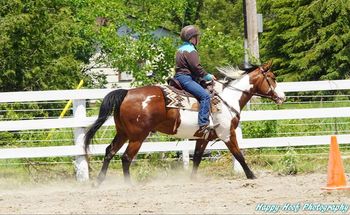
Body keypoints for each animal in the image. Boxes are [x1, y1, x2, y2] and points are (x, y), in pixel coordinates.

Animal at [84, 60, 284, 185]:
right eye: (273, 78)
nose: (282, 97)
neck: (228, 99)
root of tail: (126, 92)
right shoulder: (228, 134)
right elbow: (239, 155)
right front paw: (252, 175)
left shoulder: (203, 137)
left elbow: (197, 158)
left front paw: (192, 179)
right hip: (137, 137)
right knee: (125, 158)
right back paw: (128, 184)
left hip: (123, 133)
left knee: (109, 152)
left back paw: (99, 181)